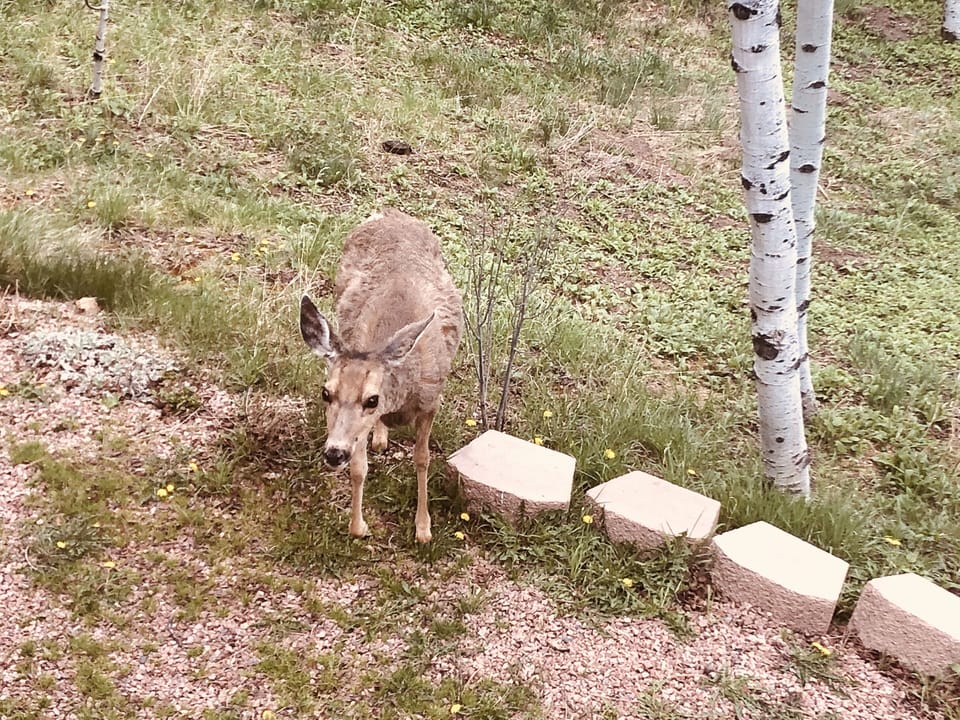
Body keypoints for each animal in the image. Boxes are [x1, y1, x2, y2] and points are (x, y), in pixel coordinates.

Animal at [299, 209, 463, 543]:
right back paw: (380, 438)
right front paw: (358, 526)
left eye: (372, 399)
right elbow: (359, 468)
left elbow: (422, 458)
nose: (333, 454)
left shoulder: (432, 402)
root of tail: (391, 212)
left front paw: (423, 528)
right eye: (326, 392)